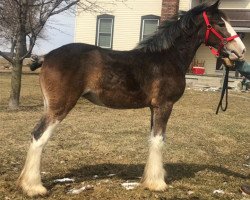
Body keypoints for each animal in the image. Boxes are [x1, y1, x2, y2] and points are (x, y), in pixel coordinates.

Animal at [18, 0, 246, 197]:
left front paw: (150, 180)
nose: (240, 51)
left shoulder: (154, 108)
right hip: (59, 107)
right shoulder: (164, 106)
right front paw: (157, 183)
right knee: (39, 136)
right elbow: (159, 140)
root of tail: (47, 56)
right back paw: (34, 187)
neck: (168, 57)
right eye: (220, 23)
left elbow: (153, 139)